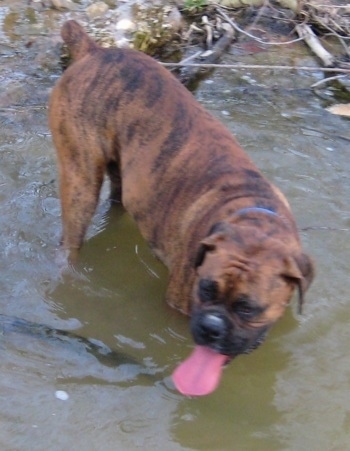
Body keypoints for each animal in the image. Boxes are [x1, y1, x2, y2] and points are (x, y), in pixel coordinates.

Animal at [48, 20, 314, 396]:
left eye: (247, 308)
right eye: (205, 289)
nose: (211, 327)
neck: (251, 216)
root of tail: (94, 51)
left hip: (121, 179)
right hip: (80, 180)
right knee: (71, 238)